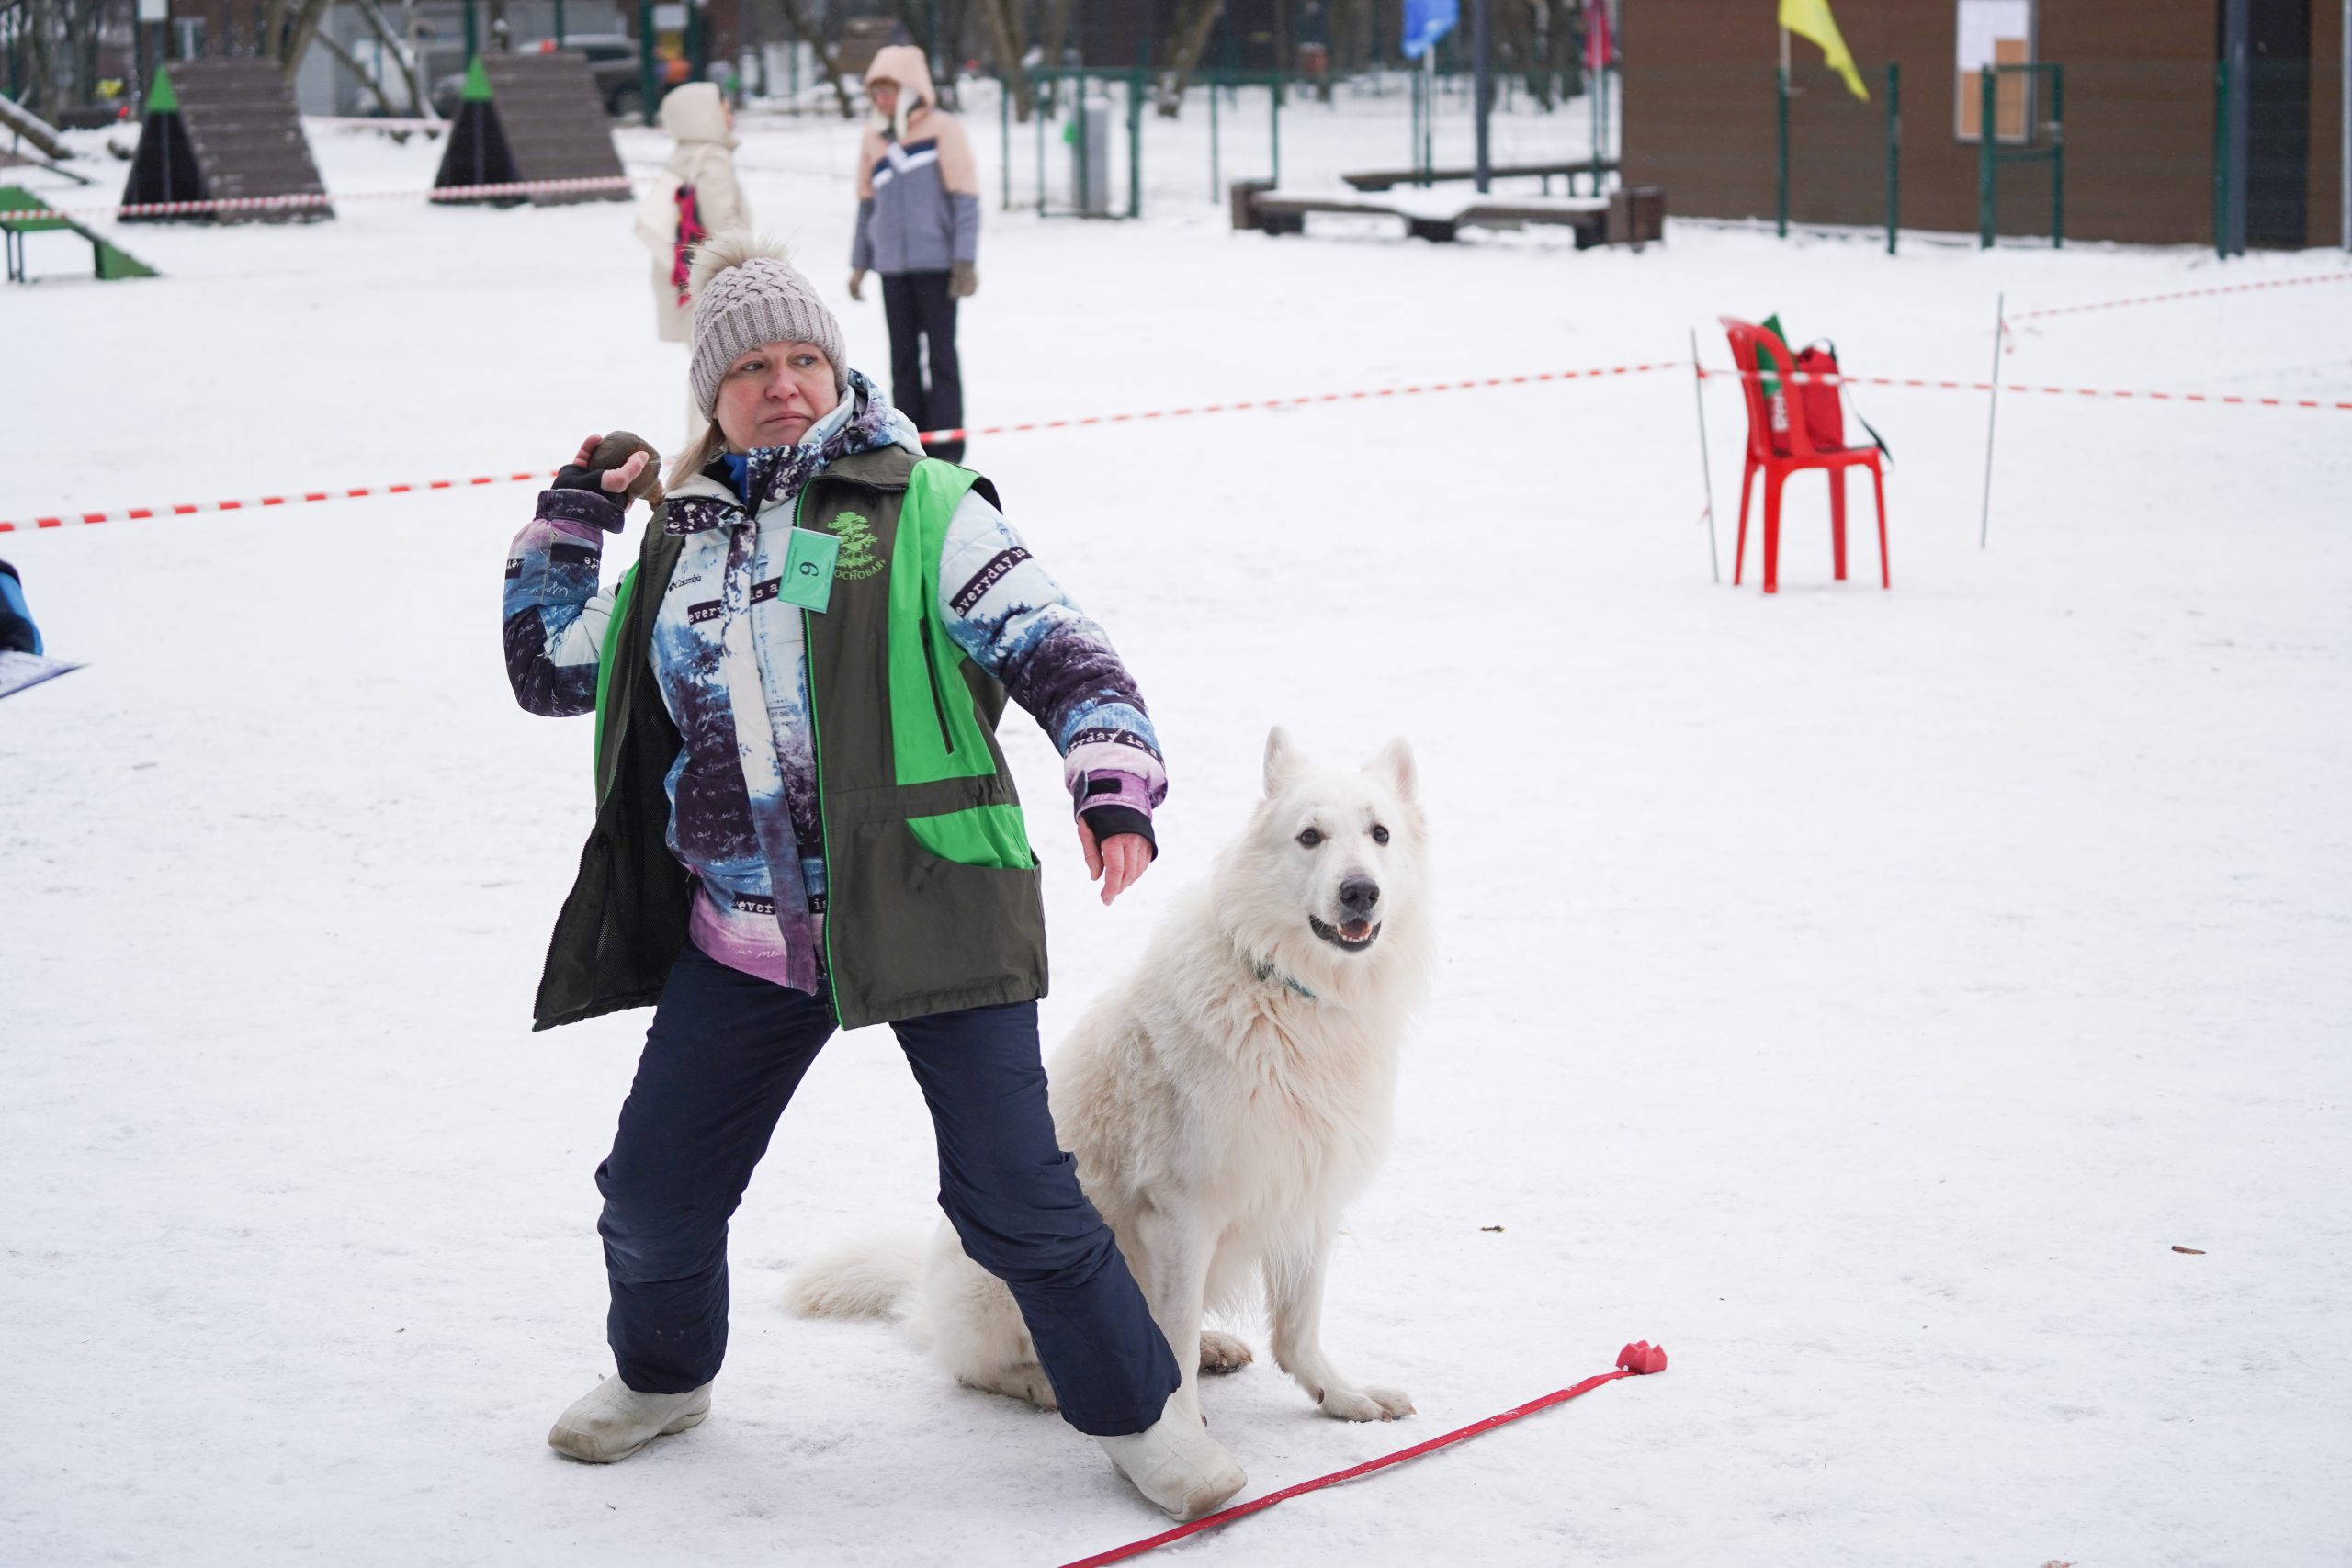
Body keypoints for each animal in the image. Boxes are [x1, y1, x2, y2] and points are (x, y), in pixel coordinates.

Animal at [790, 728, 1430, 1429]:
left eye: (1380, 834)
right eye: (1310, 836)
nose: (1360, 891)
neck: (1287, 990)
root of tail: (926, 1300)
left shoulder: (1307, 1196)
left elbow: (1299, 1329)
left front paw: (1340, 1395)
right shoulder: (1181, 1215)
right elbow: (1175, 1331)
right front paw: (1183, 1421)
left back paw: (1213, 1347)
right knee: (980, 1366)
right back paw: (1049, 1386)